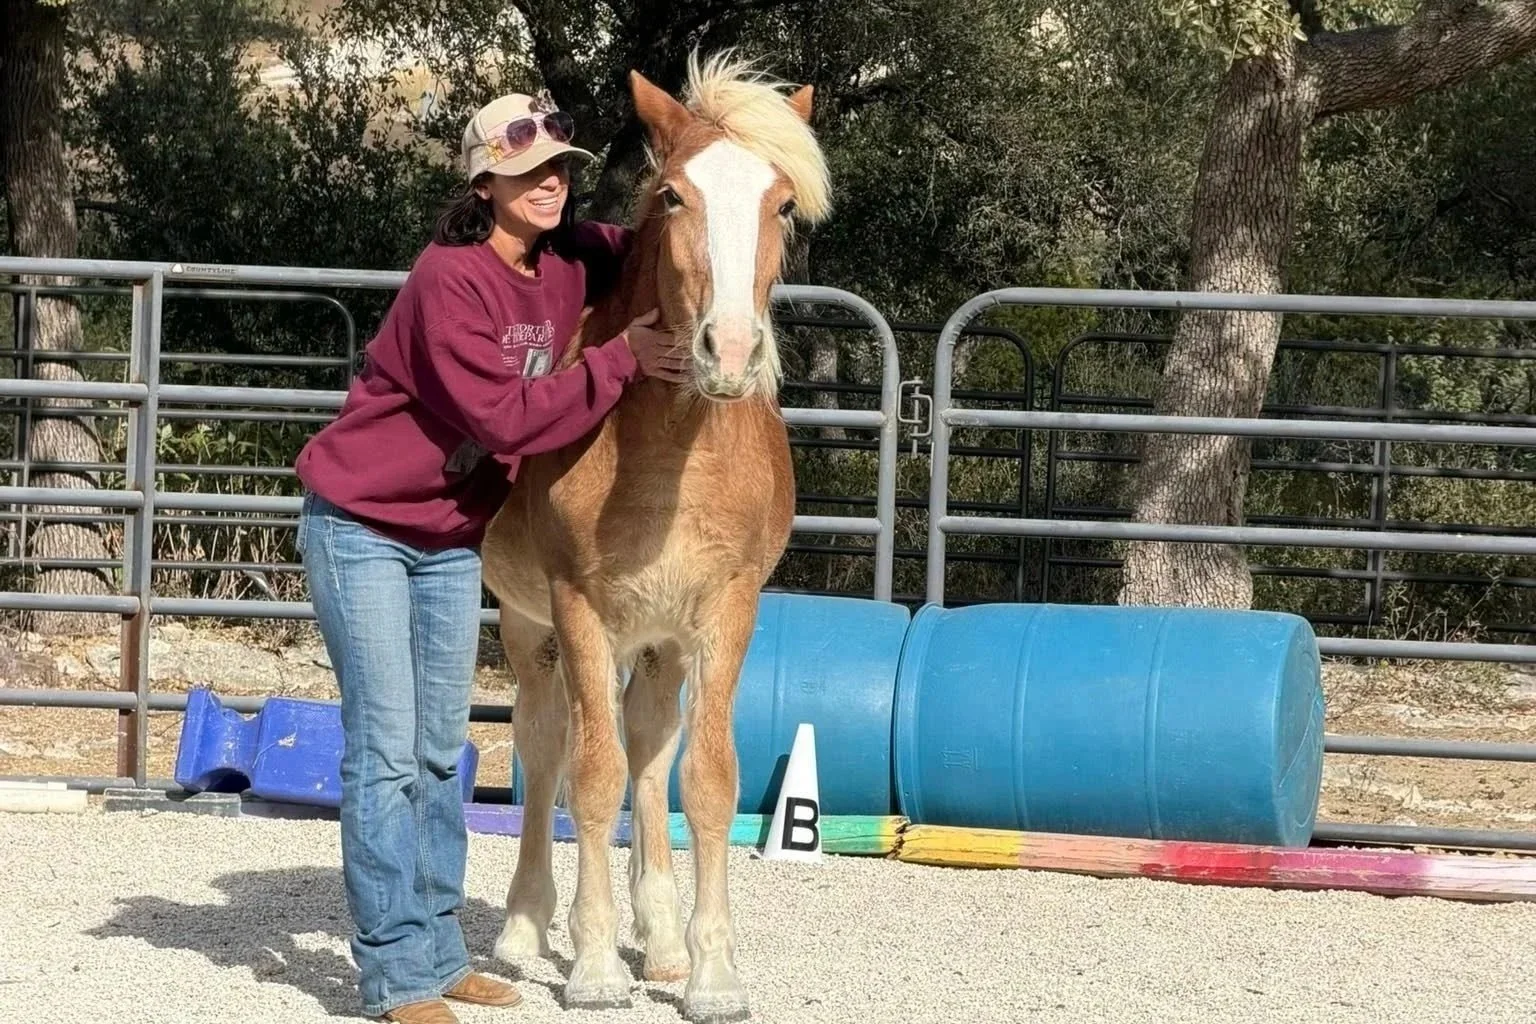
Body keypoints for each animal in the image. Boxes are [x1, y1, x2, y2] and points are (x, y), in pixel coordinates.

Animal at [477, 51, 831, 1023]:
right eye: (673, 195)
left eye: (782, 204)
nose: (730, 351)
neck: (673, 451)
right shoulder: (578, 611)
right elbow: (590, 779)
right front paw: (597, 965)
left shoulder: (723, 615)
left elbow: (704, 781)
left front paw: (709, 973)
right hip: (533, 635)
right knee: (549, 750)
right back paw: (525, 928)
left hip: (662, 647)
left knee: (648, 752)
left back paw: (664, 939)